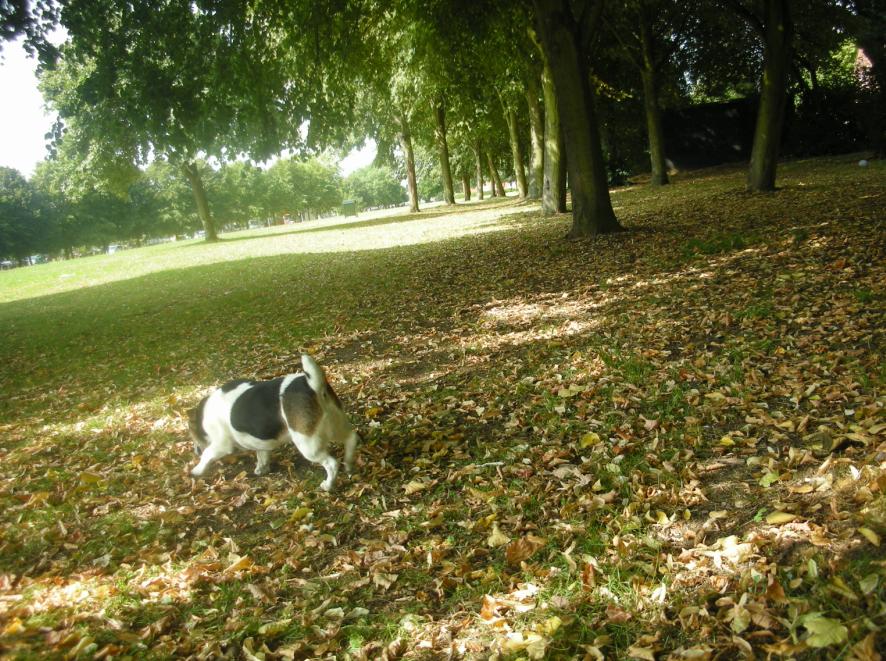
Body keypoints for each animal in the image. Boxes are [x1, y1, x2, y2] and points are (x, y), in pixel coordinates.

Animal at [189, 356, 360, 490]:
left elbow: (206, 455)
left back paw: (328, 485)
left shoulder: (221, 445)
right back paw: (349, 464)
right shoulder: (259, 443)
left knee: (331, 464)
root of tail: (313, 386)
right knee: (351, 438)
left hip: (308, 445)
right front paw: (261, 469)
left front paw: (196, 471)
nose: (195, 451)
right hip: (335, 425)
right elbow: (262, 455)